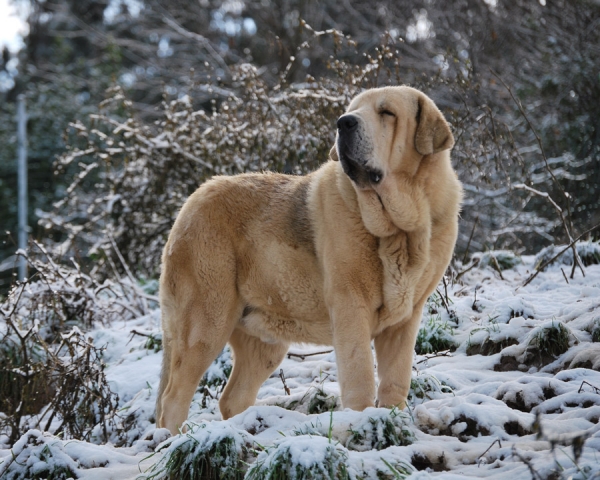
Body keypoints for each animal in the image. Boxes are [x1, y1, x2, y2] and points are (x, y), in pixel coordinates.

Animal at [156, 86, 464, 436]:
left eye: (387, 113)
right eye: (353, 110)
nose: (344, 123)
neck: (398, 229)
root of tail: (190, 203)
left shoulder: (405, 319)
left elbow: (396, 380)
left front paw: (391, 422)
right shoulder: (350, 307)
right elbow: (360, 374)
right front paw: (362, 422)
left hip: (263, 340)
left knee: (232, 398)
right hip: (205, 322)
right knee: (173, 399)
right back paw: (174, 442)